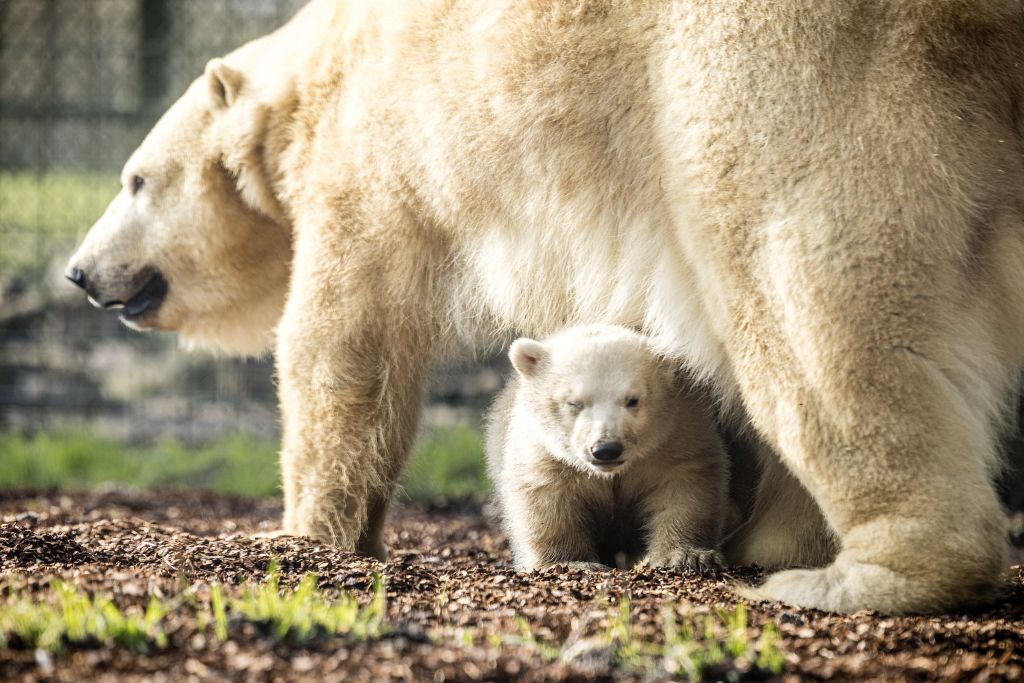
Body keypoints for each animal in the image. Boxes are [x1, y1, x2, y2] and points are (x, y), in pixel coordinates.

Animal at [485, 325, 729, 573]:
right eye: (574, 403)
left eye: (633, 400)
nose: (606, 449)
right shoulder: (544, 450)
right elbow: (546, 496)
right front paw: (571, 561)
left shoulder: (676, 433)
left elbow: (684, 483)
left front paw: (687, 556)